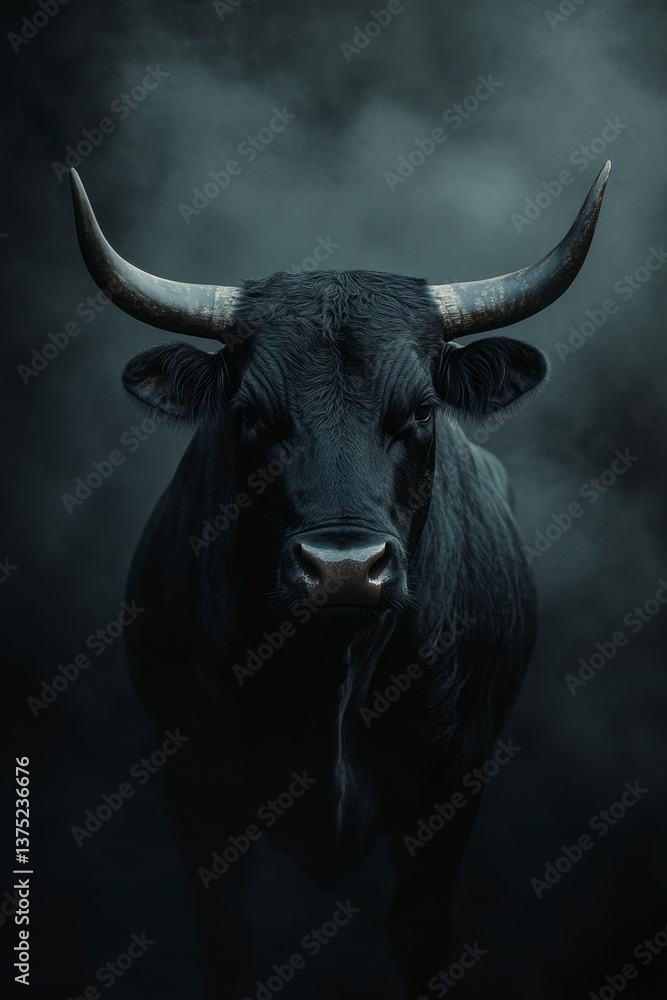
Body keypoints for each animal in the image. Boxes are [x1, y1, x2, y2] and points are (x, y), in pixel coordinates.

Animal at [70, 162, 610, 999]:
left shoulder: (452, 778)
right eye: (252, 413)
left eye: (418, 410)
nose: (343, 568)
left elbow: (418, 934)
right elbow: (228, 944)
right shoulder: (194, 782)